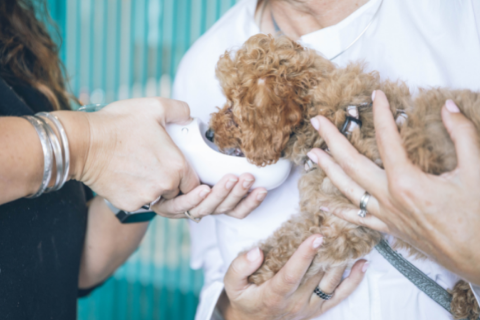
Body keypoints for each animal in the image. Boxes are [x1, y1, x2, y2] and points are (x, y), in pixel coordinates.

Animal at [208, 33, 478, 318]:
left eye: (232, 107)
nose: (209, 134)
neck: (337, 121)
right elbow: (290, 235)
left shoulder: (341, 224)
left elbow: (291, 245)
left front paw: (258, 271)